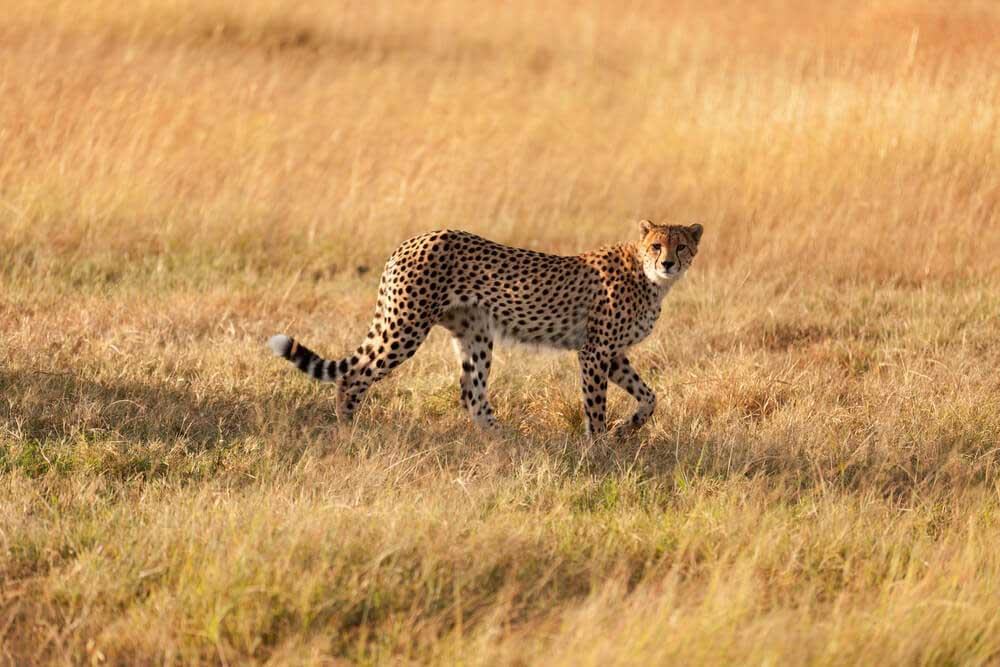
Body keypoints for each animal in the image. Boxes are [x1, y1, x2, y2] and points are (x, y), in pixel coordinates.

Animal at [267, 219, 703, 436]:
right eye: (656, 246)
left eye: (681, 246)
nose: (668, 263)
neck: (648, 278)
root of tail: (411, 240)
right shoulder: (595, 351)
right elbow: (595, 406)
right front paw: (598, 448)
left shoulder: (611, 353)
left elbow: (650, 397)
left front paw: (627, 430)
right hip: (405, 327)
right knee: (354, 375)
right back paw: (349, 430)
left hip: (474, 334)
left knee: (471, 394)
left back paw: (505, 441)